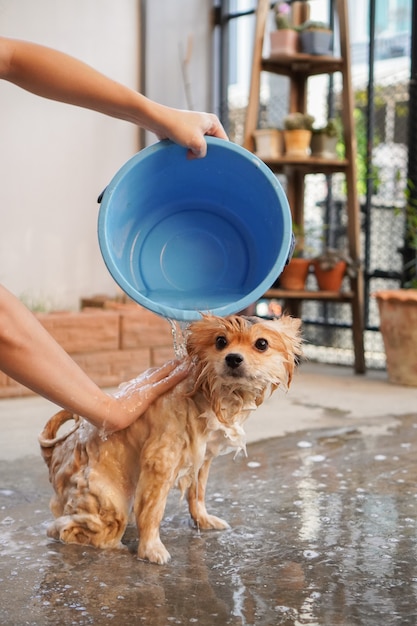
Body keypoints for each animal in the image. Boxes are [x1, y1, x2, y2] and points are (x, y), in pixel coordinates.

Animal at [39, 314, 300, 564]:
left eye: (261, 344)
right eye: (220, 341)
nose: (233, 358)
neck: (208, 394)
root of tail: (55, 453)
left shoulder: (202, 456)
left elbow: (198, 493)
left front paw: (203, 520)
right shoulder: (161, 461)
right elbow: (153, 511)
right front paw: (150, 548)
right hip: (107, 501)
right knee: (65, 527)